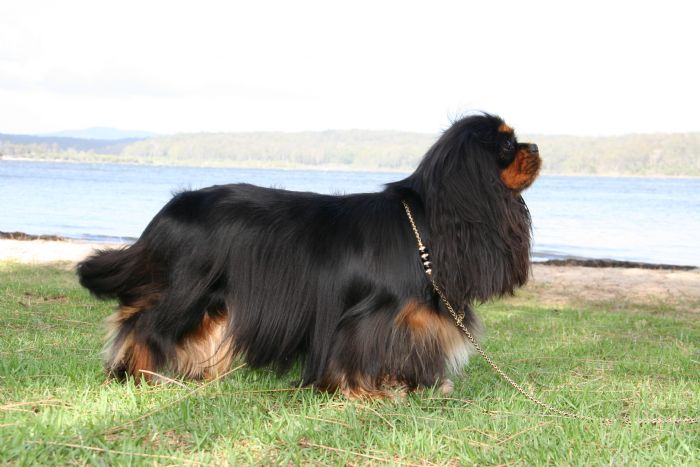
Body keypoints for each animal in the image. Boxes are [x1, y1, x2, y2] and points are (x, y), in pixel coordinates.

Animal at [77, 113, 541, 398]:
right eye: (506, 145)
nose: (536, 147)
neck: (428, 221)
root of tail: (168, 210)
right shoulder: (368, 319)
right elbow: (359, 354)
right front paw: (367, 392)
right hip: (186, 291)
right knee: (142, 323)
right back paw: (141, 375)